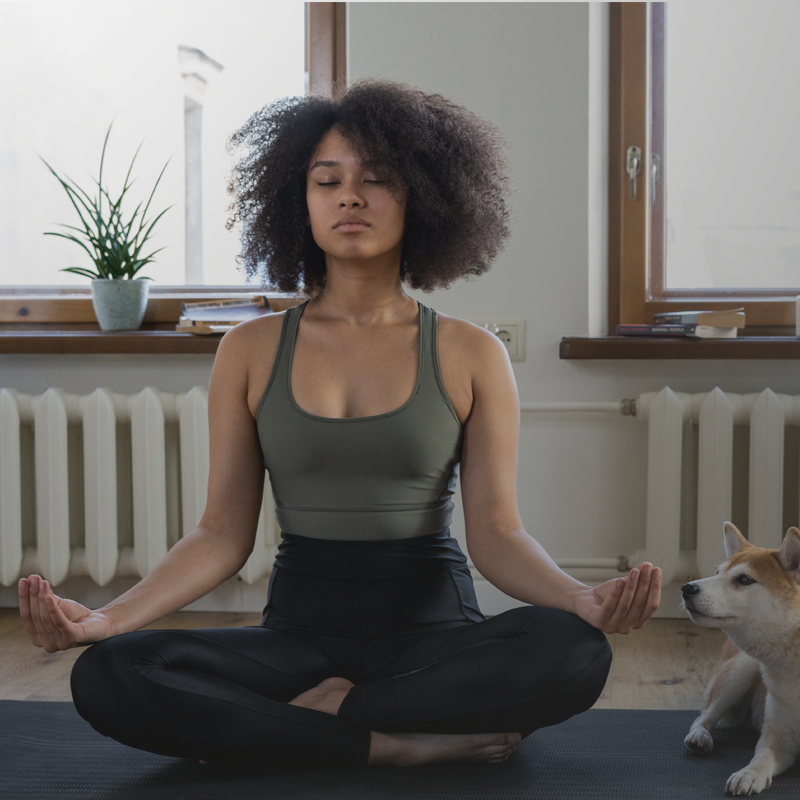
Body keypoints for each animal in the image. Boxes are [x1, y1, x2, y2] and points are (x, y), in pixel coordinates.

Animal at [680, 524, 800, 792]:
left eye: (744, 579)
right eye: (717, 572)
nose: (686, 588)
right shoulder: (779, 736)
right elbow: (762, 755)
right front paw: (749, 773)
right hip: (742, 669)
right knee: (703, 717)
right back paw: (700, 736)